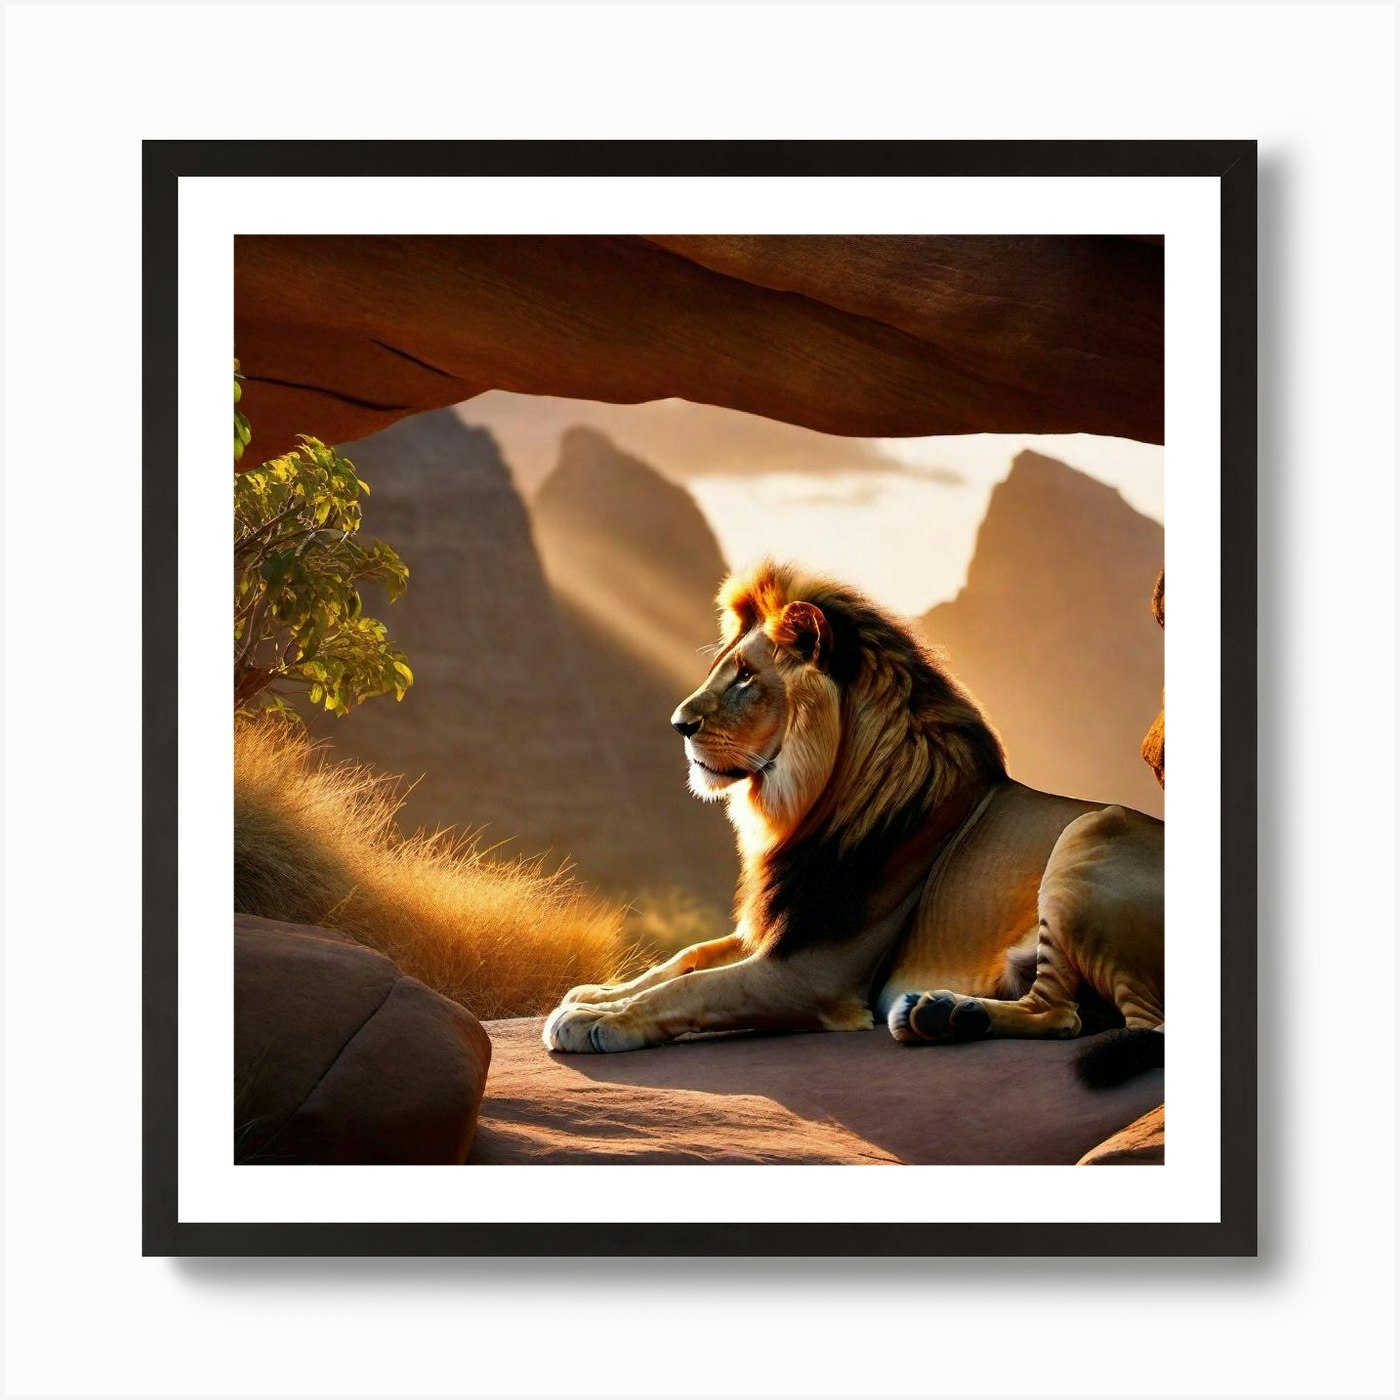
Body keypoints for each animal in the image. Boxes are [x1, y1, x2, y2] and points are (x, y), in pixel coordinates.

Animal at [543, 560, 1164, 1072]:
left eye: (746, 675)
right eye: (724, 667)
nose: (678, 724)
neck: (811, 804)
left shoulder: (809, 974)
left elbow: (691, 989)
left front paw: (595, 1021)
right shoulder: (782, 928)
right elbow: (684, 958)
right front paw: (597, 994)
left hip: (1090, 830)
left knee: (1071, 1017)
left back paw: (939, 1016)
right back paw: (944, 1016)